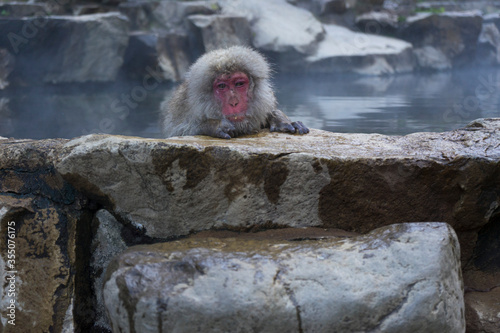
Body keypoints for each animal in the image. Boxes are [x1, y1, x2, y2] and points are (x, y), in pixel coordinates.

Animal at [160, 45, 308, 137]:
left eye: (239, 84)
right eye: (221, 86)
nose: (234, 103)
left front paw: (280, 119)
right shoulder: (181, 108)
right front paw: (214, 125)